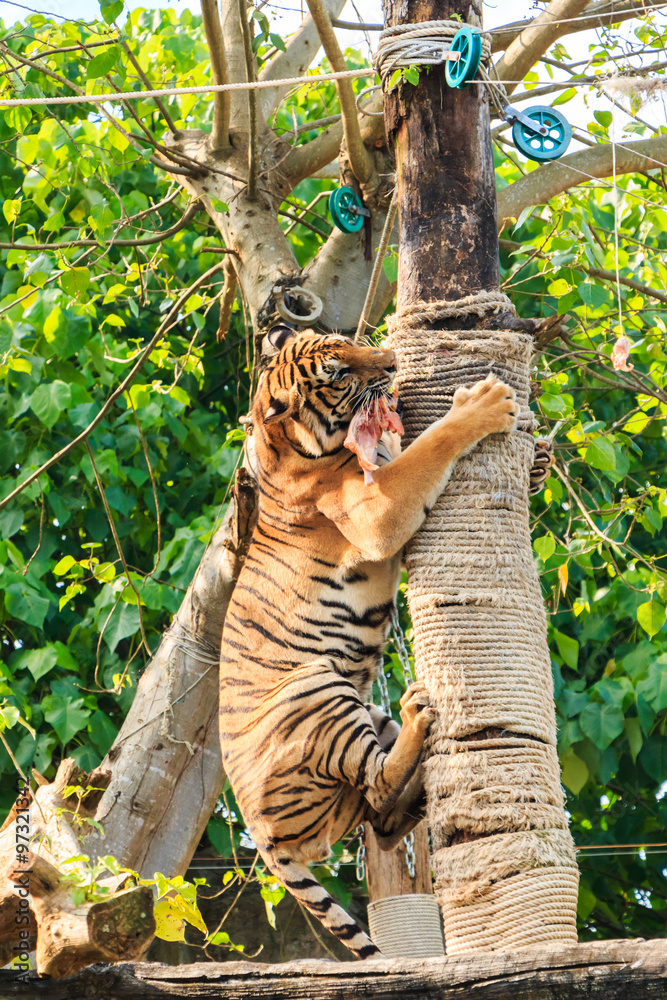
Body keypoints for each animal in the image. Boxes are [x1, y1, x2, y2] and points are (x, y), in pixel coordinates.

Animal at [218, 325, 518, 959]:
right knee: (377, 789)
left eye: (338, 339)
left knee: (379, 818)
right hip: (317, 688)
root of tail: (261, 838)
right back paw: (421, 716)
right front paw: (480, 405)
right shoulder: (376, 509)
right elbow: (429, 448)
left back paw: (428, 782)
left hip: (366, 713)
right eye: (336, 373)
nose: (392, 361)